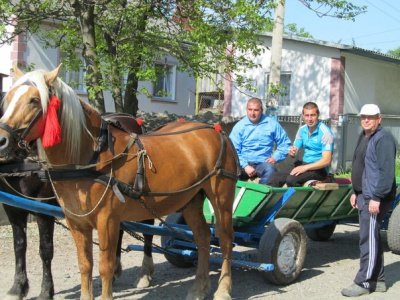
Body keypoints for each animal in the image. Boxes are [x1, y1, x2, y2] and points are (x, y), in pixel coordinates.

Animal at [0, 112, 153, 300]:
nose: (2, 141)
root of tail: (132, 119)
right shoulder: (13, 209)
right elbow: (19, 246)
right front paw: (18, 287)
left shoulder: (43, 207)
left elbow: (45, 249)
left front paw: (46, 291)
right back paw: (115, 269)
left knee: (148, 231)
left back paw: (145, 273)